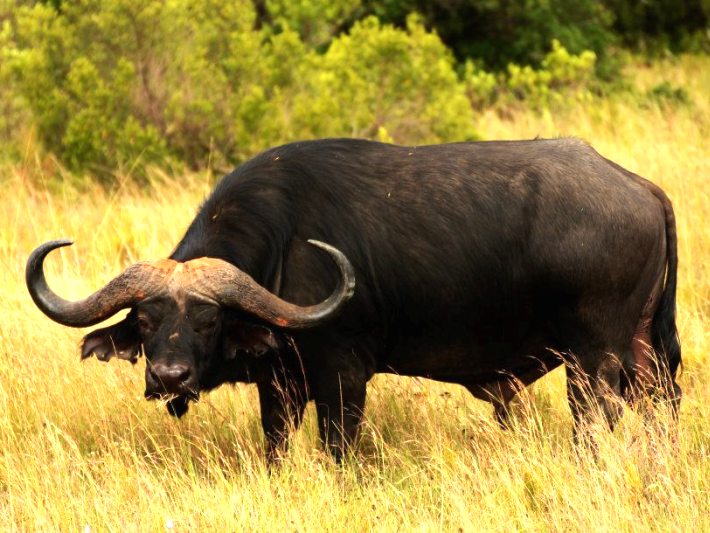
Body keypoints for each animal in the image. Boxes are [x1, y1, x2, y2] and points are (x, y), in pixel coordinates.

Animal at [29, 138, 684, 462]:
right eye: (144, 319)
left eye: (209, 319)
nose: (169, 376)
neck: (283, 247)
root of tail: (641, 188)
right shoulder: (280, 382)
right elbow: (275, 446)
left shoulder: (342, 376)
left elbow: (338, 450)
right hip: (645, 357)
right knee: (660, 410)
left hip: (592, 363)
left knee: (594, 423)